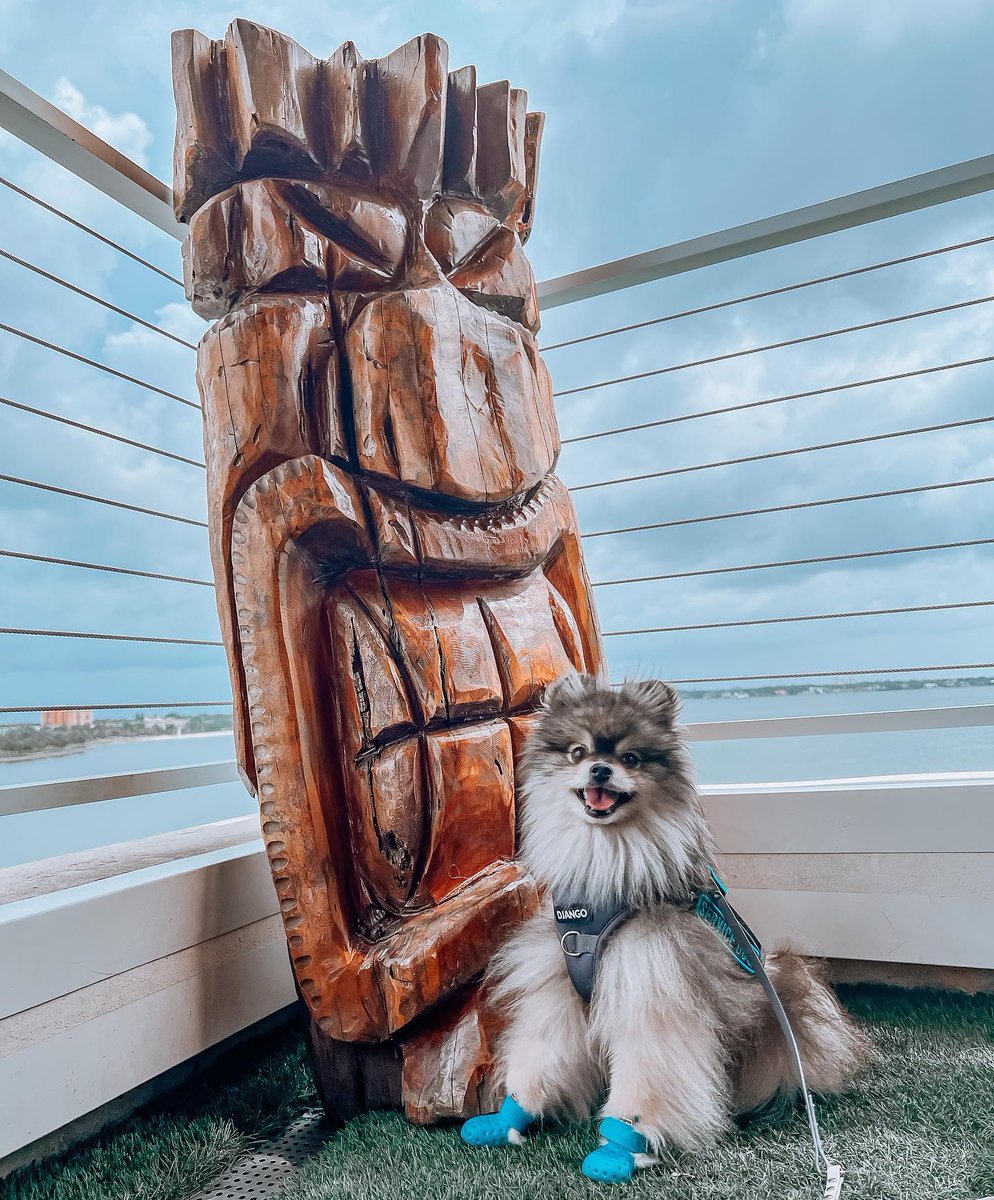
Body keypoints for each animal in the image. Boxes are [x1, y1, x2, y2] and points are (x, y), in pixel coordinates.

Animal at [470, 676, 864, 1171]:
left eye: (631, 758)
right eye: (578, 752)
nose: (601, 769)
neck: (606, 868)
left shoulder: (652, 991)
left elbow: (648, 1073)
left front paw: (622, 1146)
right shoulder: (558, 991)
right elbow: (540, 1053)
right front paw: (510, 1116)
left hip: (782, 1003)